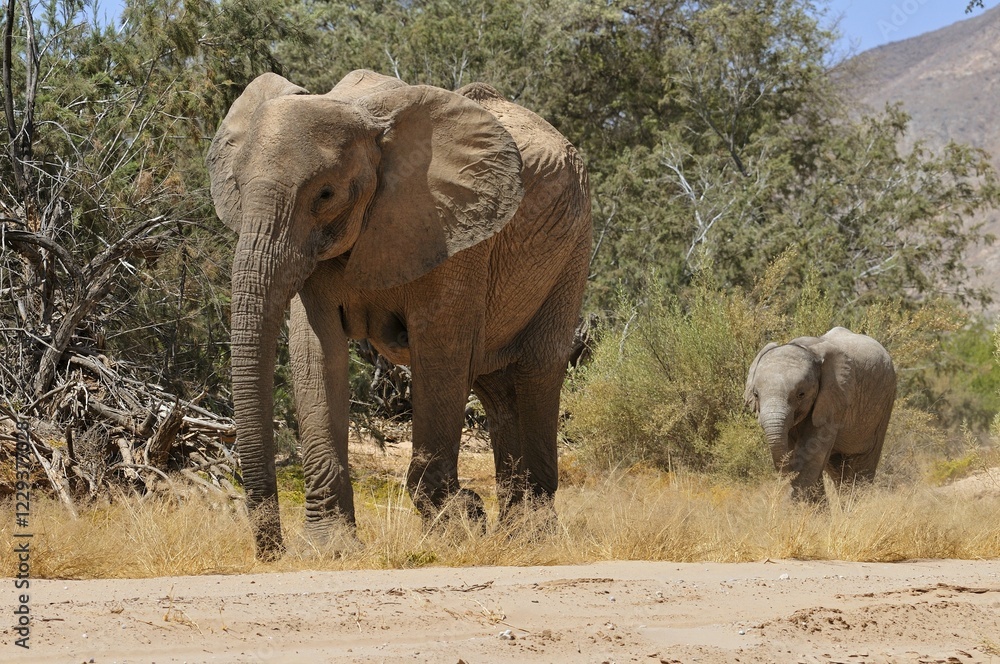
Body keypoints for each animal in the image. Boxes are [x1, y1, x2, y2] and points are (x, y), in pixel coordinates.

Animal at [206, 69, 591, 559]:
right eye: (236, 186)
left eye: (326, 194)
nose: (274, 552)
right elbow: (317, 355)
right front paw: (331, 550)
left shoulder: (456, 231)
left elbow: (441, 354)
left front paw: (459, 525)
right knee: (497, 387)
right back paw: (512, 534)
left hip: (573, 244)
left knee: (537, 369)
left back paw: (532, 539)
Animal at [744, 327, 896, 502]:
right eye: (756, 395)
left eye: (801, 394)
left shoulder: (833, 401)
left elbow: (811, 454)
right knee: (837, 469)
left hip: (885, 401)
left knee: (863, 464)